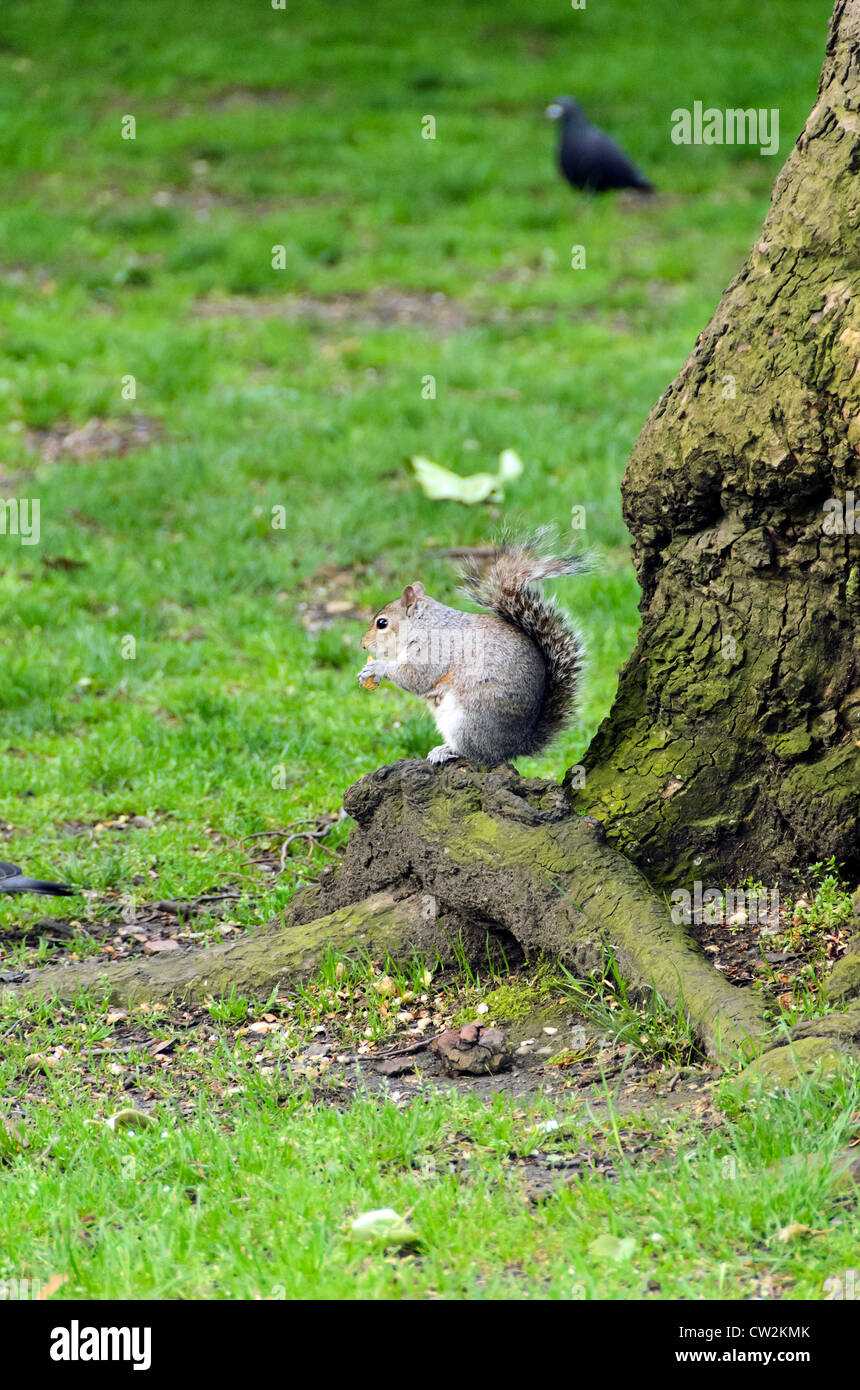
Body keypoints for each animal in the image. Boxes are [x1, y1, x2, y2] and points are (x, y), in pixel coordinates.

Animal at [357, 533, 586, 765]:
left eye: (382, 623)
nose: (363, 644)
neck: (425, 624)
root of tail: (516, 745)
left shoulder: (434, 649)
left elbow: (415, 678)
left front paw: (376, 667)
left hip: (469, 720)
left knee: (475, 753)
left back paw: (445, 750)